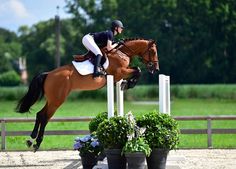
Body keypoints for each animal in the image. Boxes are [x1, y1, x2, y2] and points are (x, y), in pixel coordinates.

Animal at [15, 38, 159, 152]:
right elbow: (138, 70)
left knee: (40, 114)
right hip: (57, 100)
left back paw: (31, 140)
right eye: (153, 52)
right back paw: (36, 142)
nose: (155, 69)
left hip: (52, 99)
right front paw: (129, 84)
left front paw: (127, 83)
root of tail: (48, 74)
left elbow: (136, 70)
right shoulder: (120, 72)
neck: (122, 53)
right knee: (44, 117)